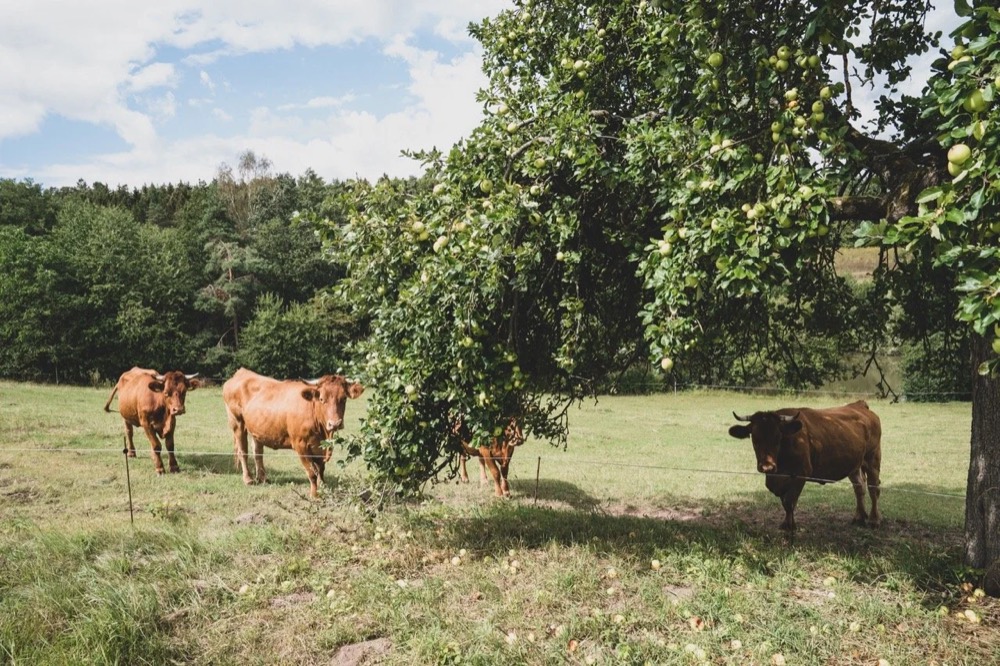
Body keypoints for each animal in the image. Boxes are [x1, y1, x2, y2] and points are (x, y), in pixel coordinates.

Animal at [222, 368, 364, 497]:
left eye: (344, 398)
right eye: (321, 399)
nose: (334, 424)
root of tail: (241, 372)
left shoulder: (320, 447)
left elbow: (321, 469)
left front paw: (324, 487)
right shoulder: (300, 445)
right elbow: (312, 472)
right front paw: (314, 494)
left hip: (256, 428)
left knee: (257, 452)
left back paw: (263, 478)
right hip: (237, 422)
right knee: (243, 452)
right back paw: (248, 479)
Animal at [728, 400, 882, 531]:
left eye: (778, 438)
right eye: (754, 438)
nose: (767, 467)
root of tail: (859, 405)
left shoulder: (801, 474)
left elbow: (789, 501)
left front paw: (790, 526)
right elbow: (785, 501)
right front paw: (787, 523)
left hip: (873, 458)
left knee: (873, 488)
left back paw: (874, 520)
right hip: (854, 465)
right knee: (859, 487)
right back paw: (859, 517)